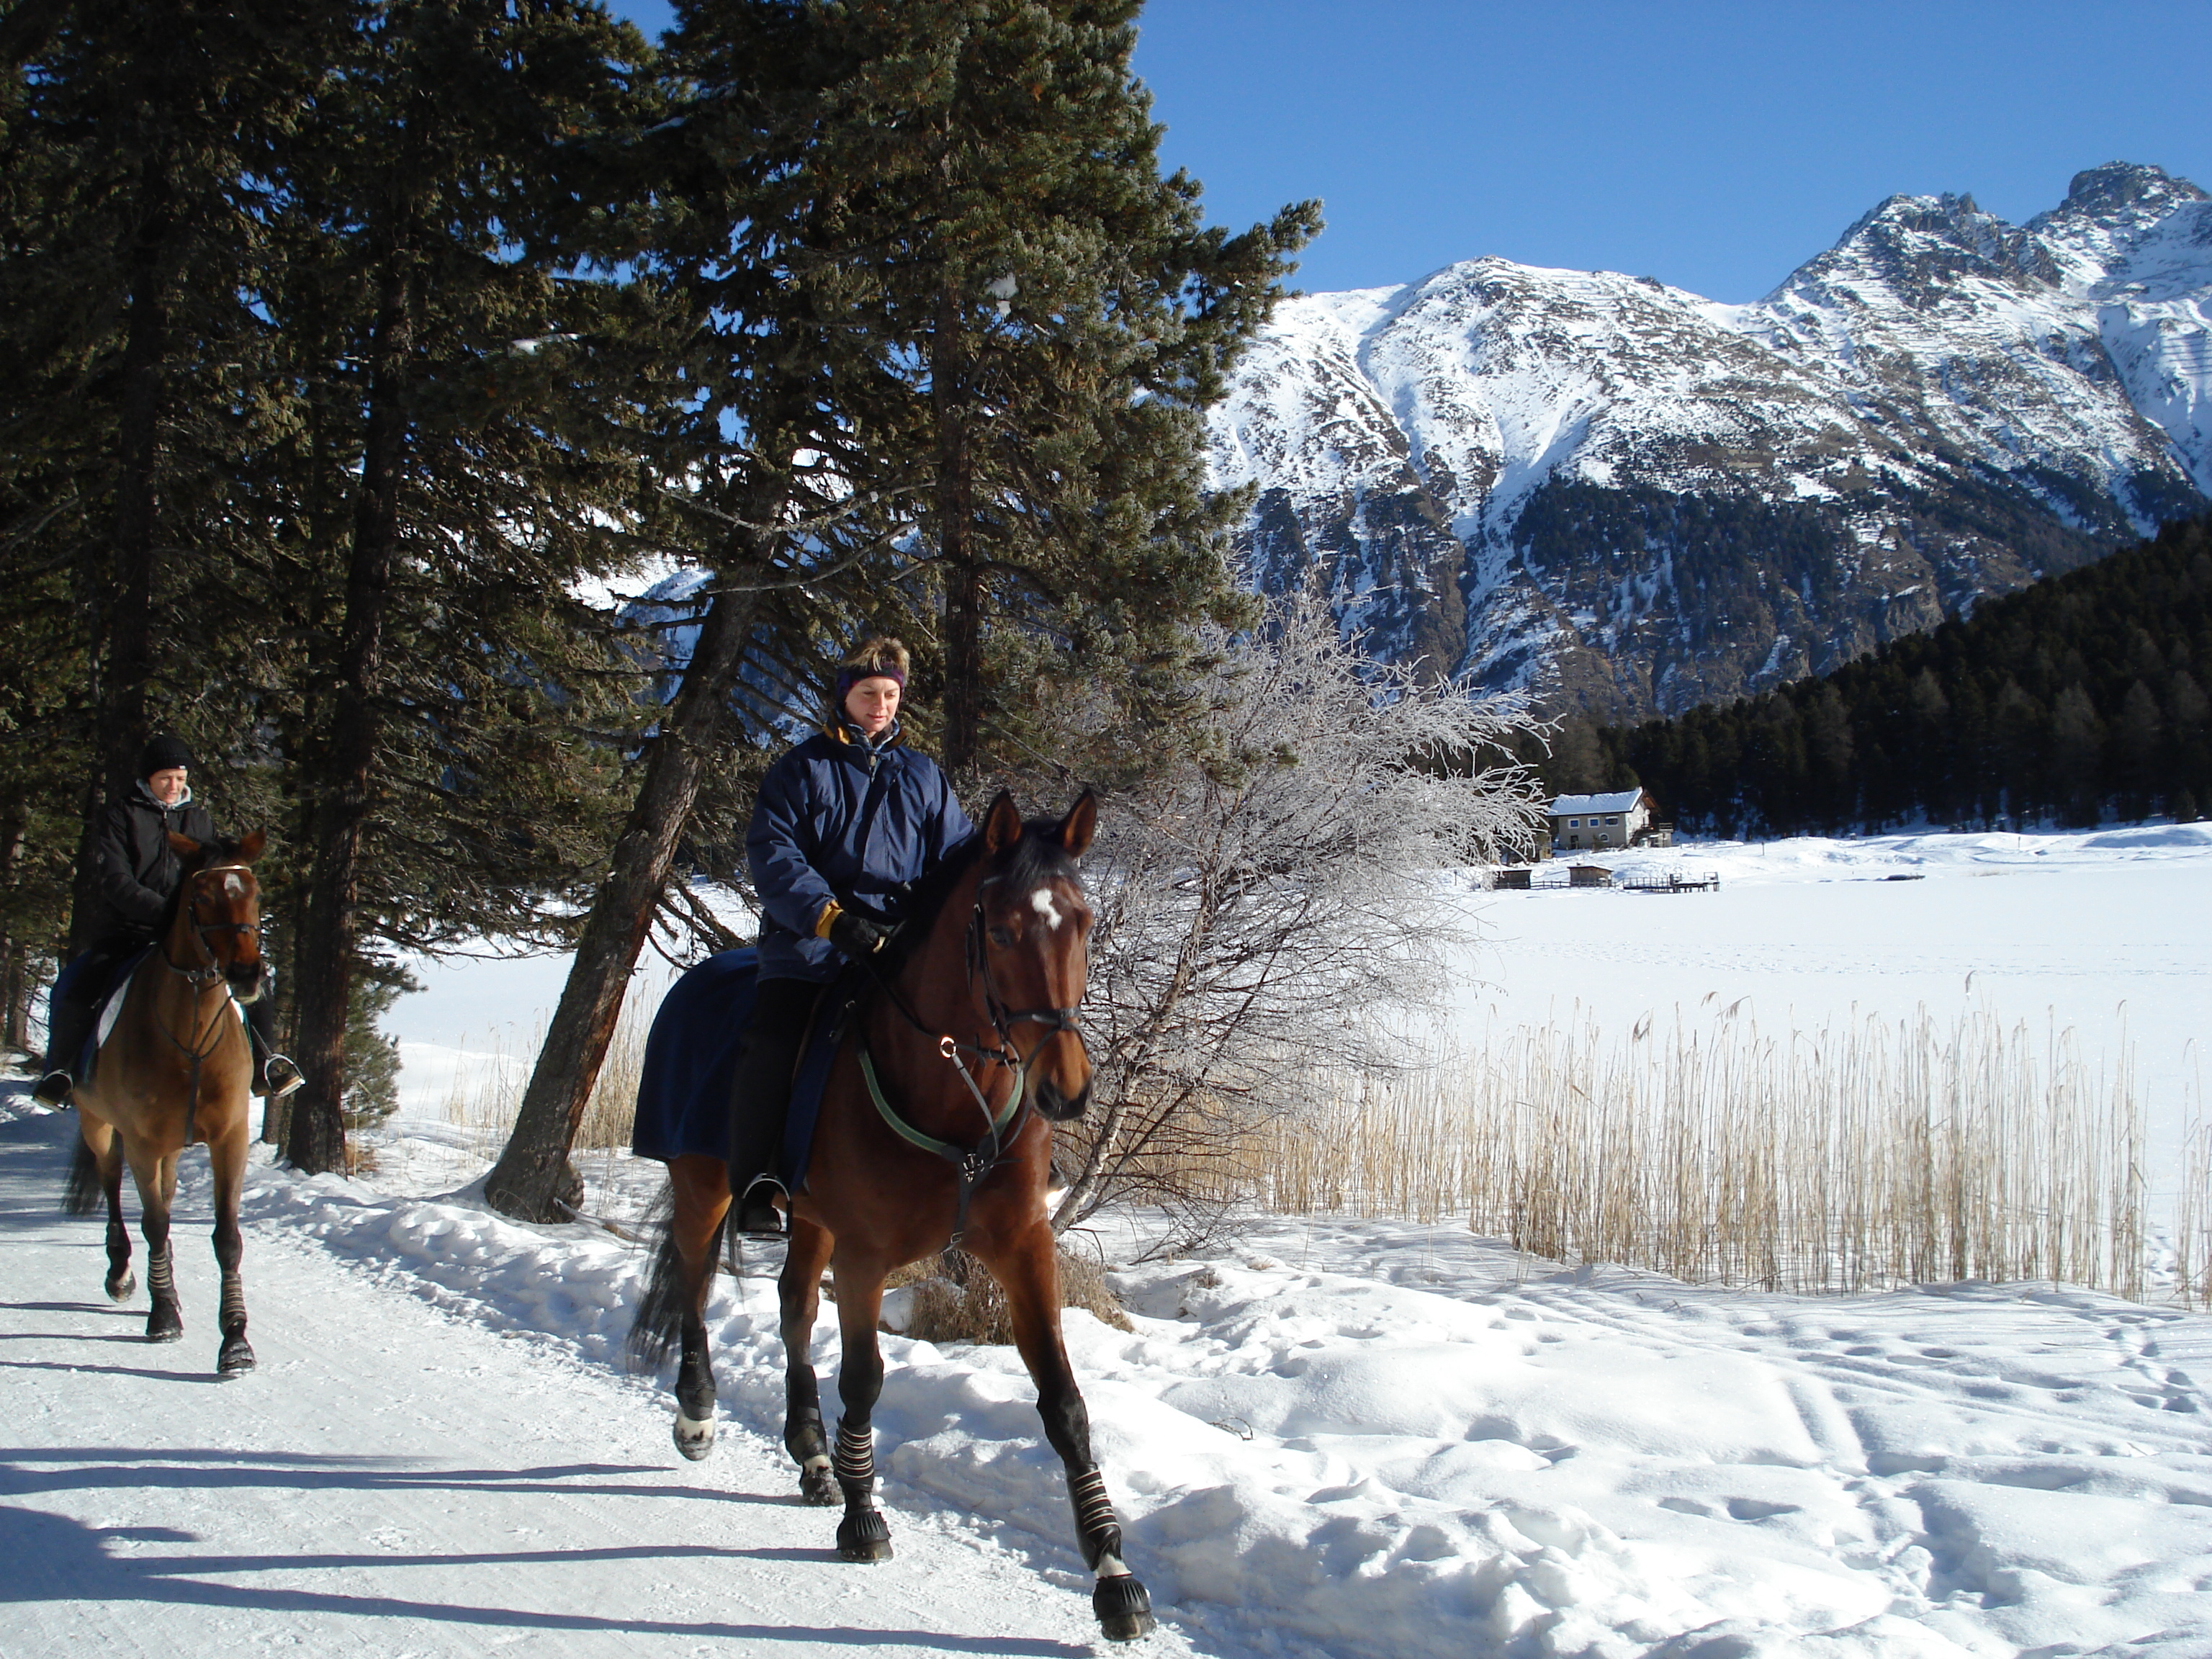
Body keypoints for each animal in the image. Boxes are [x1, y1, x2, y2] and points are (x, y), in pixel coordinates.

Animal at [64, 832, 269, 1380]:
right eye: (201, 896)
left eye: (255, 893)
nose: (247, 974)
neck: (191, 1035)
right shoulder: (140, 1141)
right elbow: (153, 1222)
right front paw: (162, 1316)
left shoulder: (229, 1139)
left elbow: (228, 1238)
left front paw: (235, 1340)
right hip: (99, 1125)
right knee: (113, 1188)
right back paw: (122, 1275)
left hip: (174, 1146)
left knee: (168, 1191)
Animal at [628, 796, 1159, 1654]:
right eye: (1001, 930)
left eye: (1082, 922)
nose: (1068, 1089)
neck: (950, 1084)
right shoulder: (868, 1257)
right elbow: (865, 1380)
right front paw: (862, 1515)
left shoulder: (1022, 1251)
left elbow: (1065, 1404)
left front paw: (1113, 1574)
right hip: (703, 1184)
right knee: (696, 1286)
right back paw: (699, 1416)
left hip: (810, 1222)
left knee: (793, 1308)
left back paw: (812, 1457)